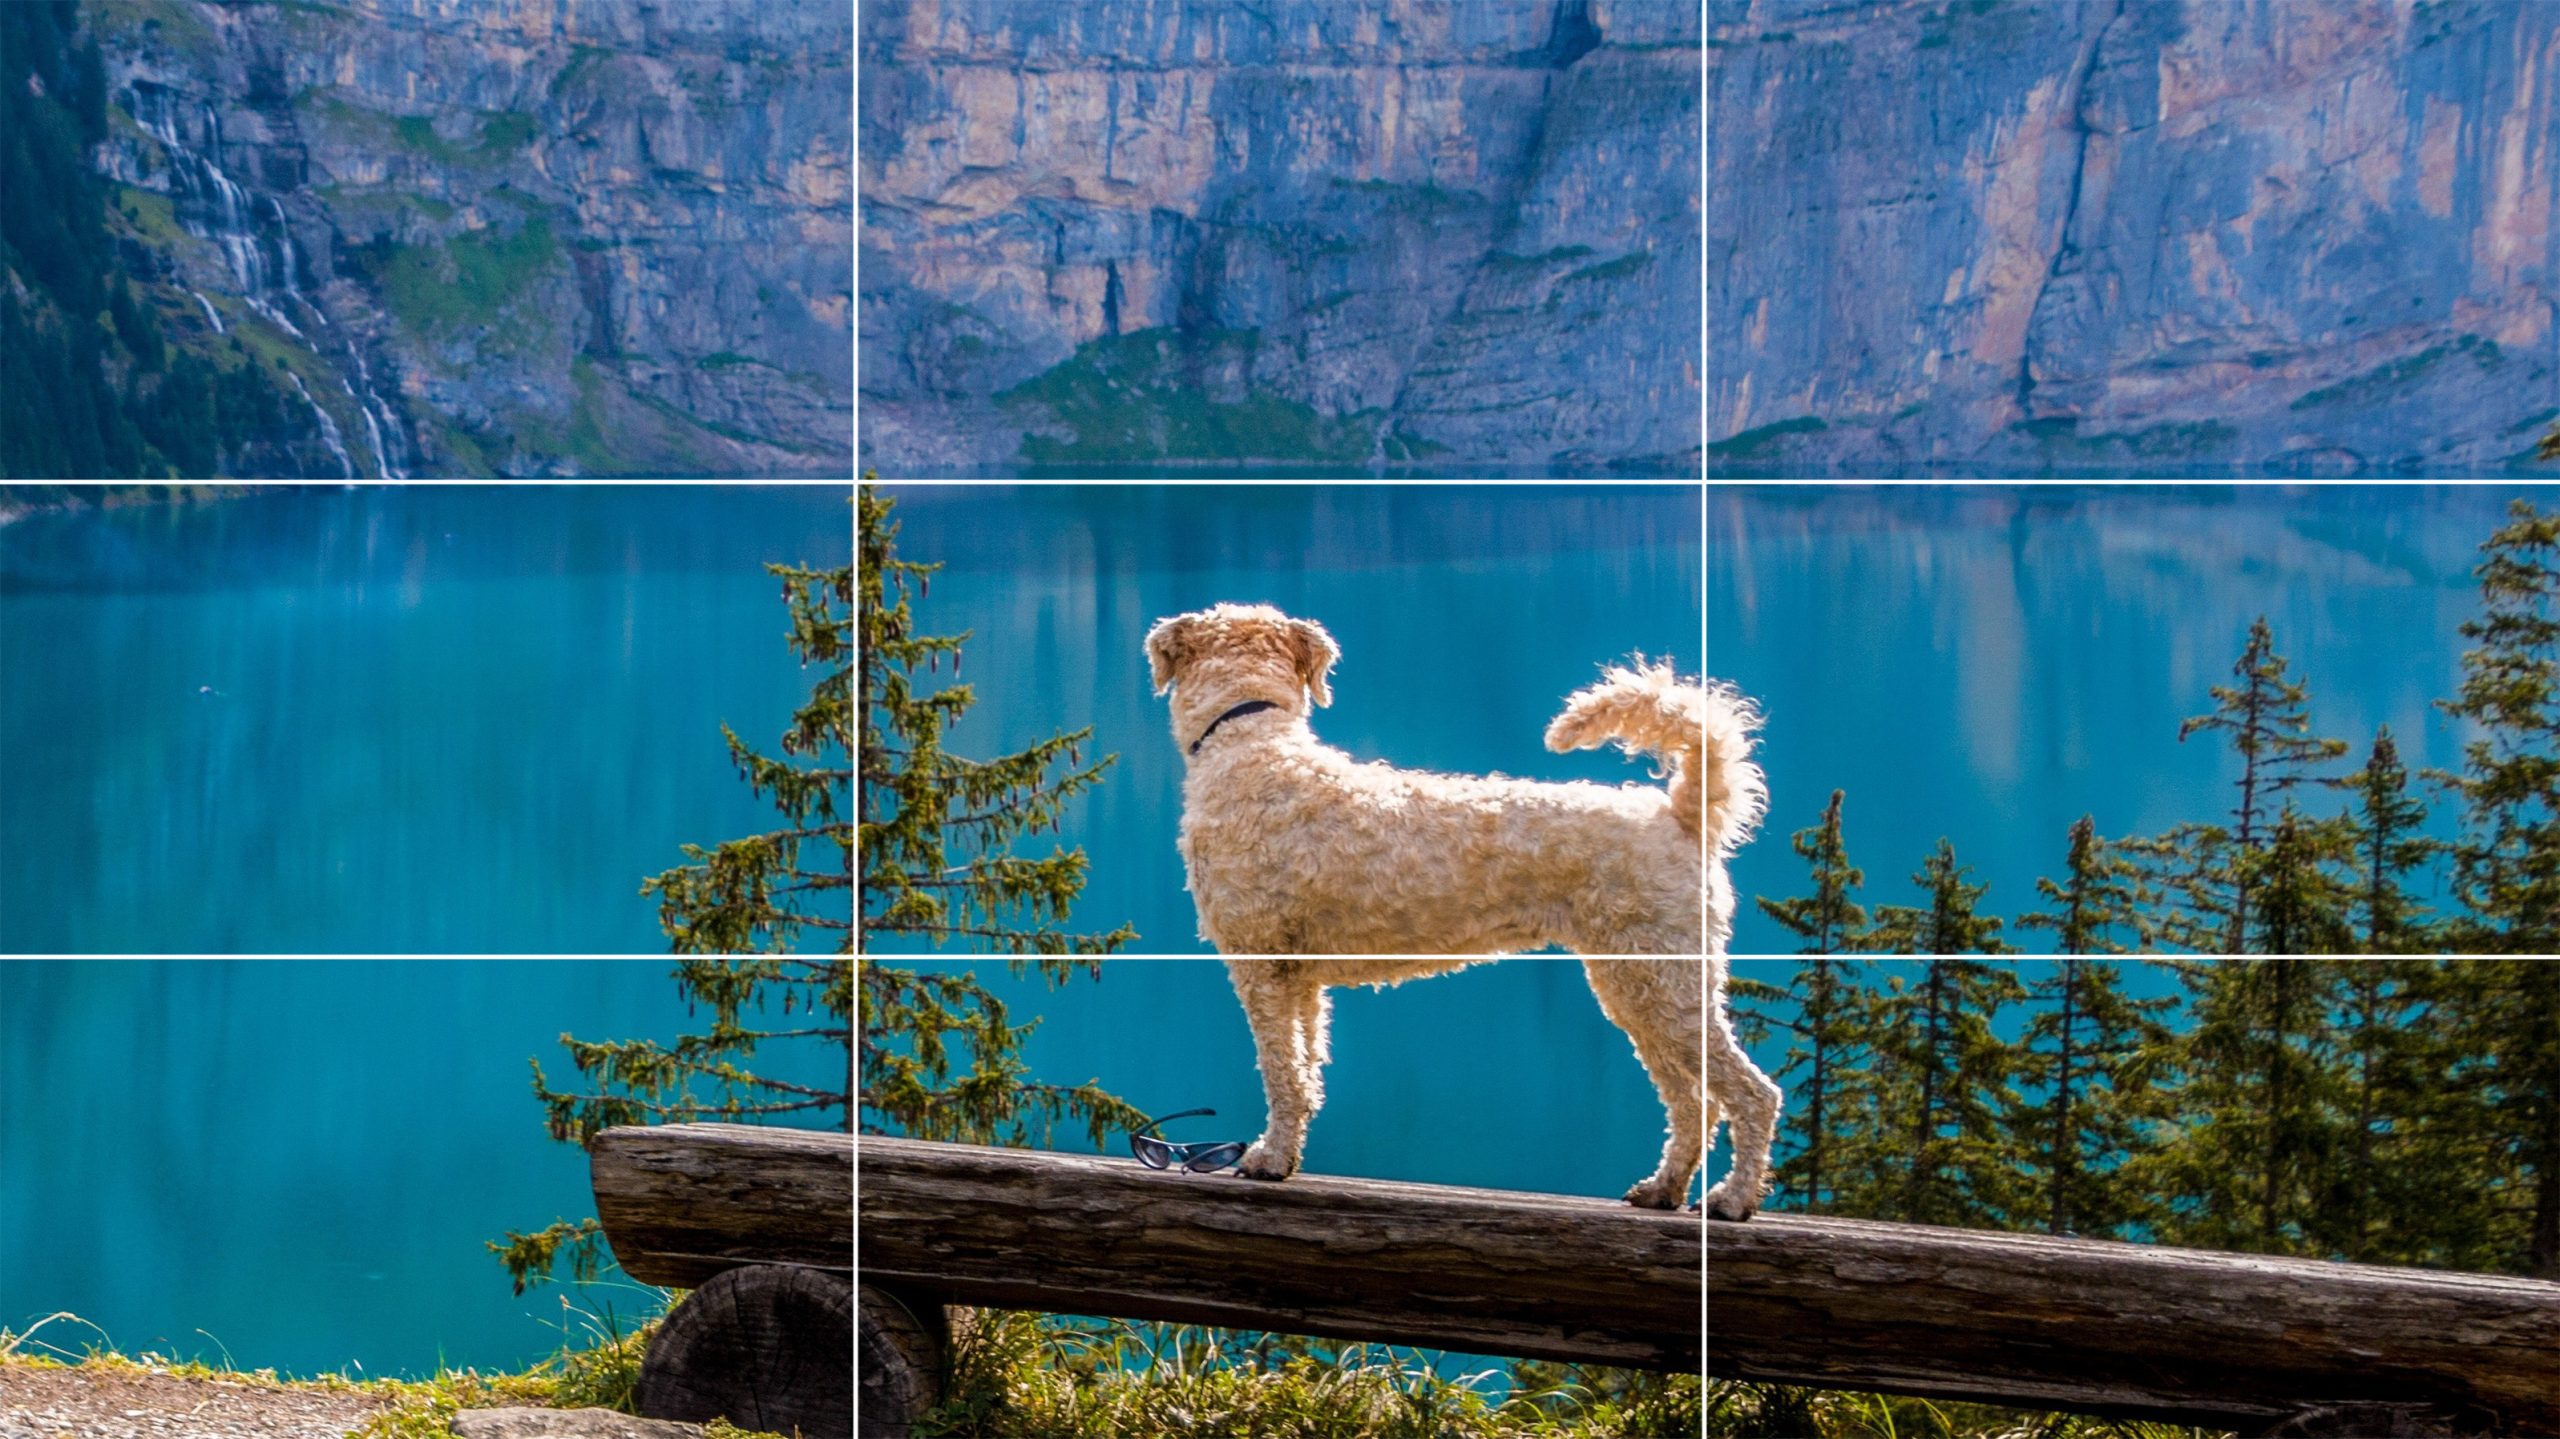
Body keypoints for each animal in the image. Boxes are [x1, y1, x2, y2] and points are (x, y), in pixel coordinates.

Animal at [1218, 957, 1699, 1203]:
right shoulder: (1294, 971)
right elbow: (1303, 1066)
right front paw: (1285, 1154)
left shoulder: (1260, 956)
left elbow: (1282, 1071)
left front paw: (1271, 1159)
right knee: (1693, 1096)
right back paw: (1666, 1187)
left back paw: (1717, 1200)